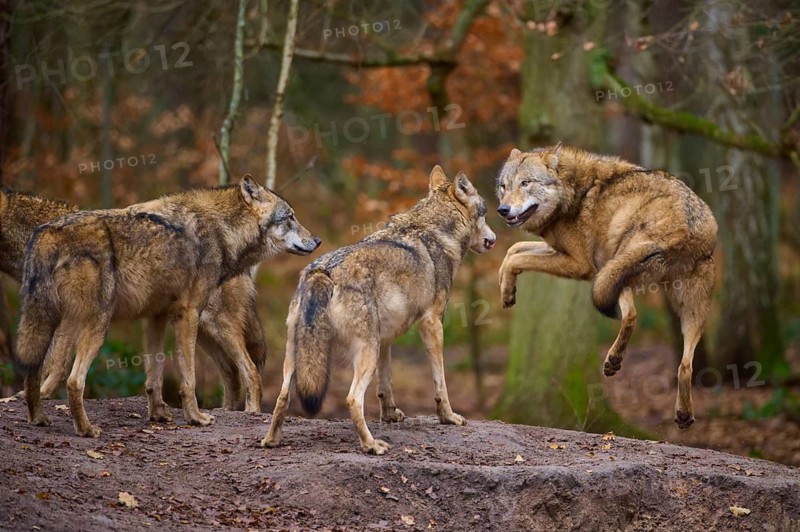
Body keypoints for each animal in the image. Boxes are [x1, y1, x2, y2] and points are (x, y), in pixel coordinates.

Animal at [14, 176, 321, 437]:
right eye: (290, 217)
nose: (317, 240)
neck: (221, 230)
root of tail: (48, 231)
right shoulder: (187, 314)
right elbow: (189, 378)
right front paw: (196, 418)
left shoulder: (155, 317)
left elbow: (154, 376)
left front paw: (159, 415)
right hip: (100, 324)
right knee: (74, 381)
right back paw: (86, 430)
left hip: (53, 320)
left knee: (35, 370)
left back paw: (38, 418)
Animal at [262, 166, 496, 454]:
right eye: (484, 213)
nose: (493, 239)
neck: (433, 230)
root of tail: (322, 271)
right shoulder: (432, 323)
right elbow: (440, 381)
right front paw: (449, 417)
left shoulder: (385, 338)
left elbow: (386, 385)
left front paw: (390, 415)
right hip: (365, 352)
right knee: (352, 399)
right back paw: (371, 445)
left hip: (300, 354)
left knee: (283, 395)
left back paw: (271, 440)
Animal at [495, 144, 718, 429]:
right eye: (504, 186)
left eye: (526, 183)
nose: (502, 209)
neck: (572, 192)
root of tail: (687, 227)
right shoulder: (558, 251)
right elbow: (513, 251)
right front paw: (507, 290)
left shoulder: (579, 265)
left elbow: (516, 258)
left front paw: (508, 292)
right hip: (676, 303)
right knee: (685, 364)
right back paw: (683, 415)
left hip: (610, 272)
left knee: (631, 315)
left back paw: (613, 361)